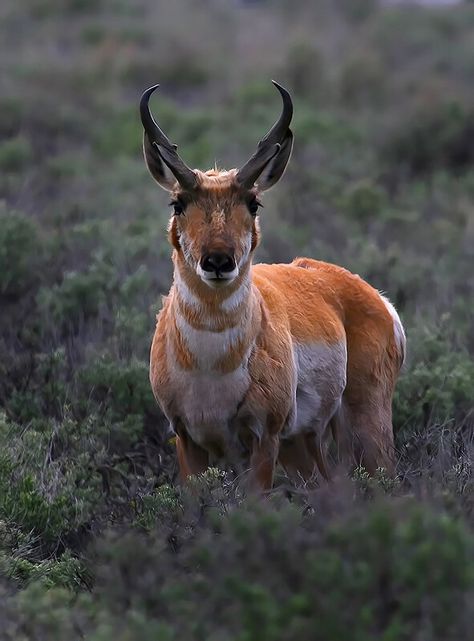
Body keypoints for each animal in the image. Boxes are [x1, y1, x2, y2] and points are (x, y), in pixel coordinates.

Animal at [139, 81, 406, 490]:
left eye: (253, 203)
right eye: (178, 203)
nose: (218, 261)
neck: (210, 365)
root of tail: (376, 298)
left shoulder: (264, 439)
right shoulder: (188, 440)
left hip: (364, 426)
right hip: (303, 445)